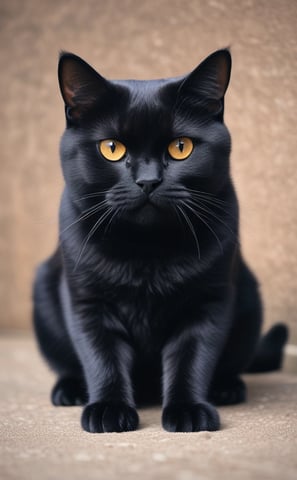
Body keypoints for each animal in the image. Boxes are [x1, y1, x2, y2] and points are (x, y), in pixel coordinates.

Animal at [33, 49, 286, 436]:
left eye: (181, 147)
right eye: (111, 148)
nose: (148, 181)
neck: (147, 251)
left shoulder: (208, 302)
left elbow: (191, 358)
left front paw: (189, 410)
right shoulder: (87, 302)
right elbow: (101, 357)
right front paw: (108, 410)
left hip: (248, 301)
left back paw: (227, 387)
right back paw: (70, 389)